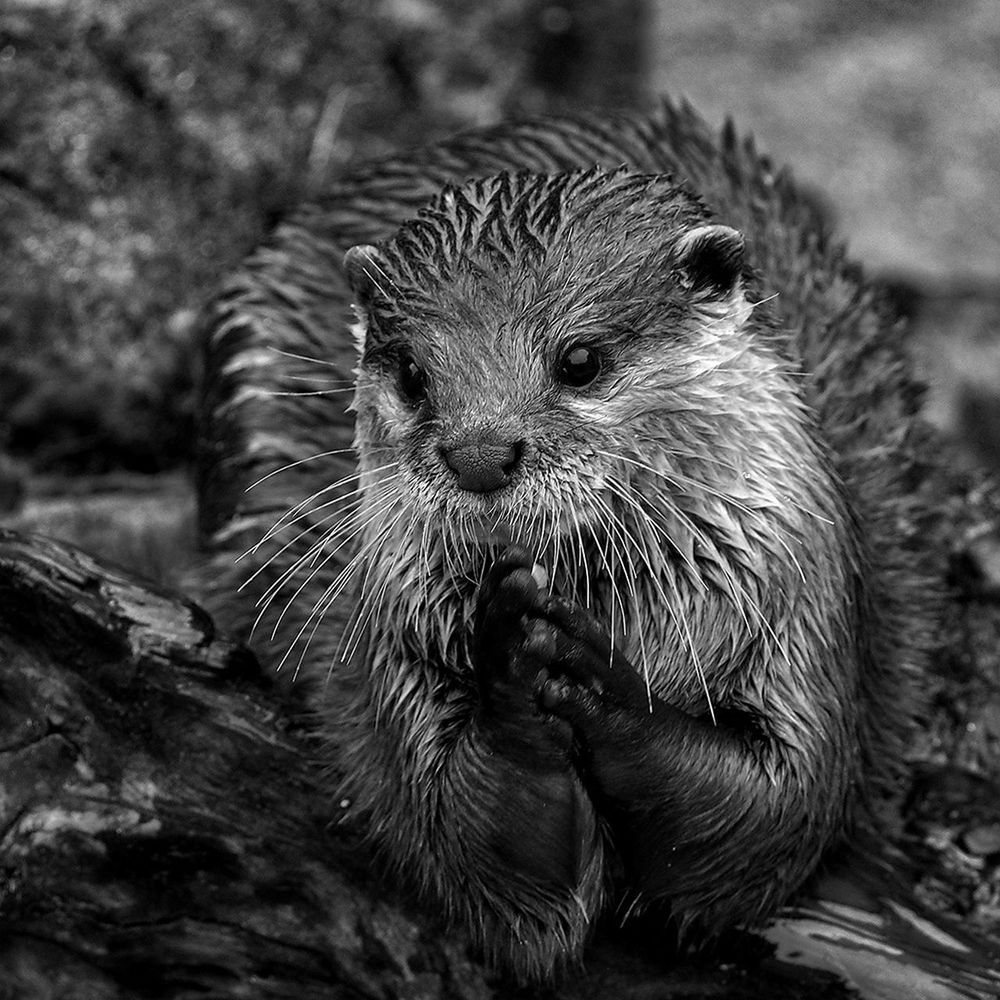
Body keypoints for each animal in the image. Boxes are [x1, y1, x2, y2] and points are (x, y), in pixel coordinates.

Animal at [199, 103, 940, 984]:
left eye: (580, 359)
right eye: (412, 373)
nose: (480, 454)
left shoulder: (809, 618)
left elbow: (773, 820)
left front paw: (594, 675)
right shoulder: (392, 649)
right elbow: (472, 845)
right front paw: (517, 658)